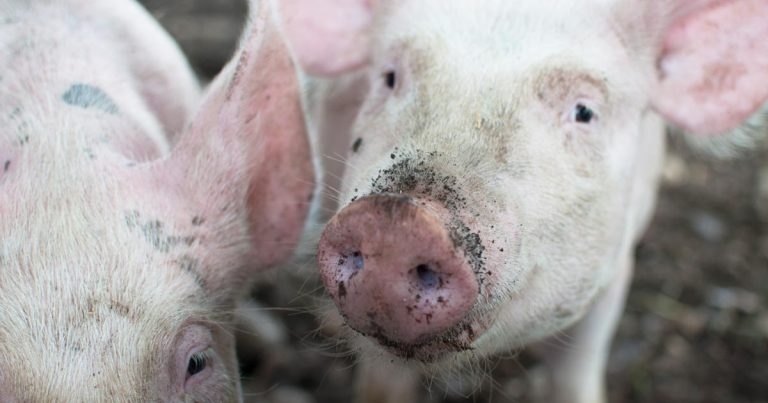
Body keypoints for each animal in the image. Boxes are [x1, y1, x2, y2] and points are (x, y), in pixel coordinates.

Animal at [274, 0, 768, 402]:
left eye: (584, 111)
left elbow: (576, 377)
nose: (398, 220)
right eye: (389, 77)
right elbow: (381, 384)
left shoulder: (615, 271)